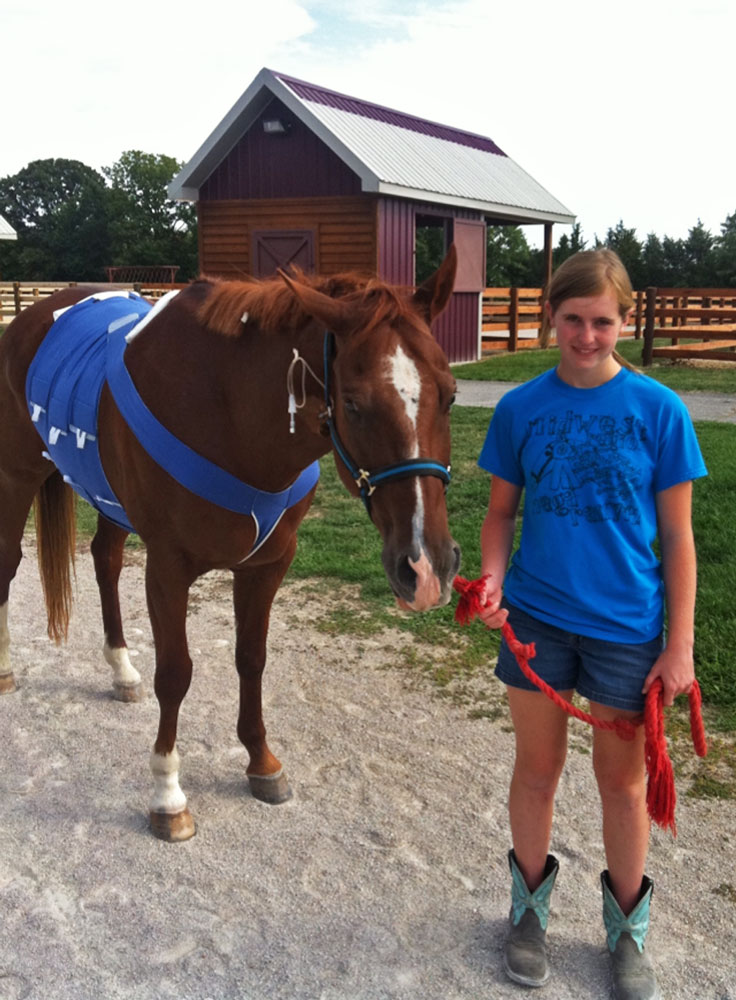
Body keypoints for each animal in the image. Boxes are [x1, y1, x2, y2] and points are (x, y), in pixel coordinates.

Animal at [0, 247, 460, 840]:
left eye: (450, 396)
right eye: (354, 405)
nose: (426, 568)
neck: (229, 414)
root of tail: (31, 315)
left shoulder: (269, 564)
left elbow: (252, 658)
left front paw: (262, 762)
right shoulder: (168, 568)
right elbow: (176, 674)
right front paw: (168, 794)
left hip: (106, 496)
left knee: (106, 559)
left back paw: (121, 670)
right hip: (16, 475)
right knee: (9, 563)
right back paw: (6, 669)